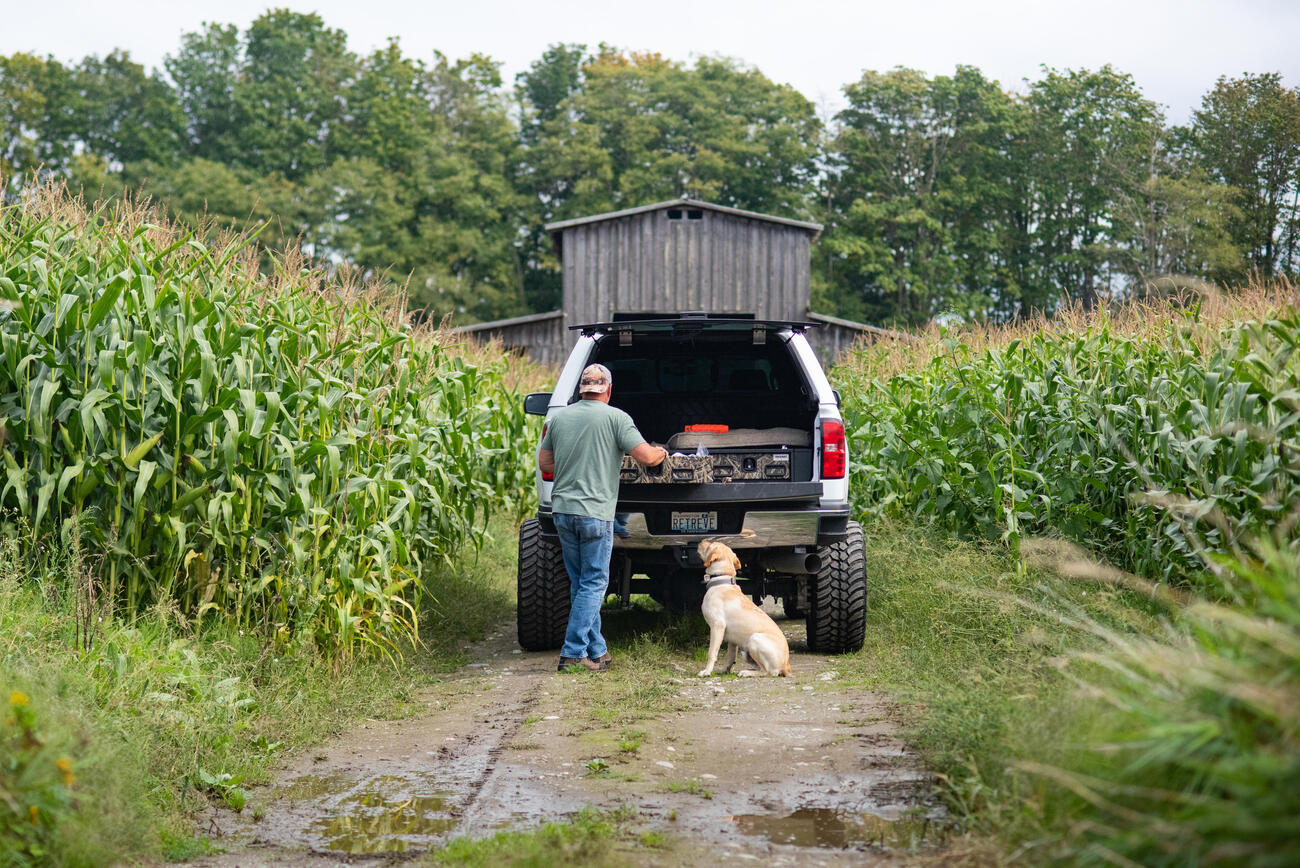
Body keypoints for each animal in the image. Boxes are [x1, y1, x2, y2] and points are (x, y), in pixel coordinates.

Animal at [696, 543, 785, 675]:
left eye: (710, 545)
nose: (700, 542)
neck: (722, 580)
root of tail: (786, 666)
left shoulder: (717, 626)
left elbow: (712, 652)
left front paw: (707, 671)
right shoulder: (732, 639)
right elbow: (730, 657)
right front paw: (724, 670)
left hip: (754, 639)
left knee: (767, 671)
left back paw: (747, 673)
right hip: (746, 653)